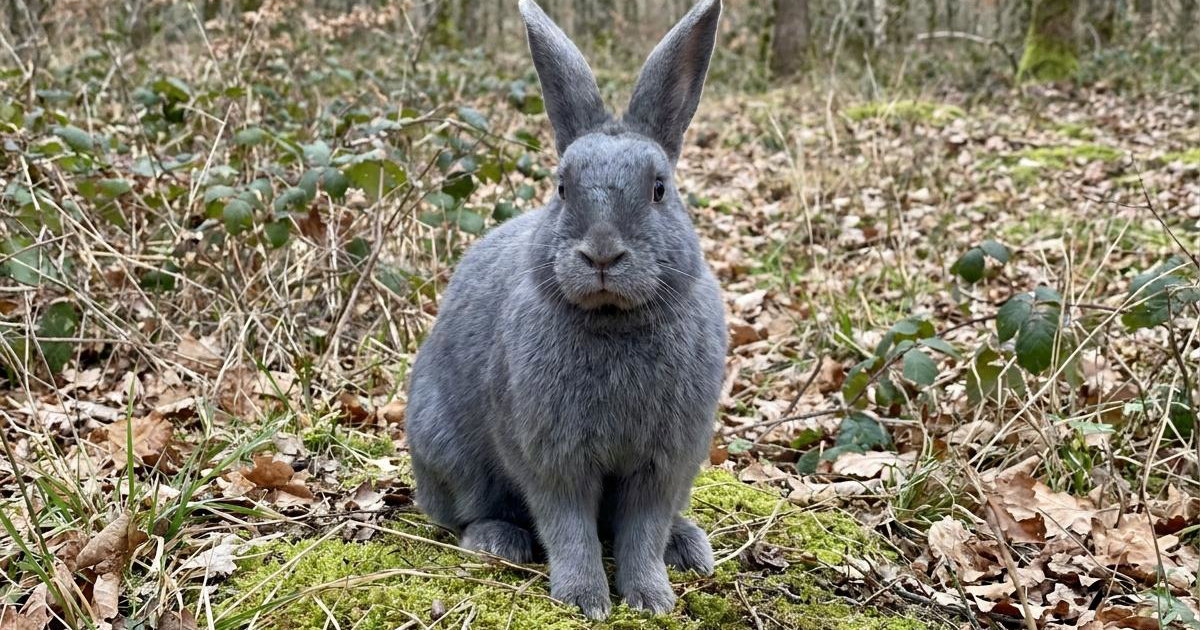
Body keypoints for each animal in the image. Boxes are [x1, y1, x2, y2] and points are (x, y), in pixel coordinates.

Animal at [405, 0, 726, 619]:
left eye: (659, 189)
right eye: (560, 187)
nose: (601, 253)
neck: (612, 319)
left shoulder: (664, 465)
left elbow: (641, 532)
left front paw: (651, 599)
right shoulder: (552, 458)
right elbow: (569, 527)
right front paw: (585, 601)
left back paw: (688, 546)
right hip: (449, 454)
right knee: (468, 513)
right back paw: (496, 542)